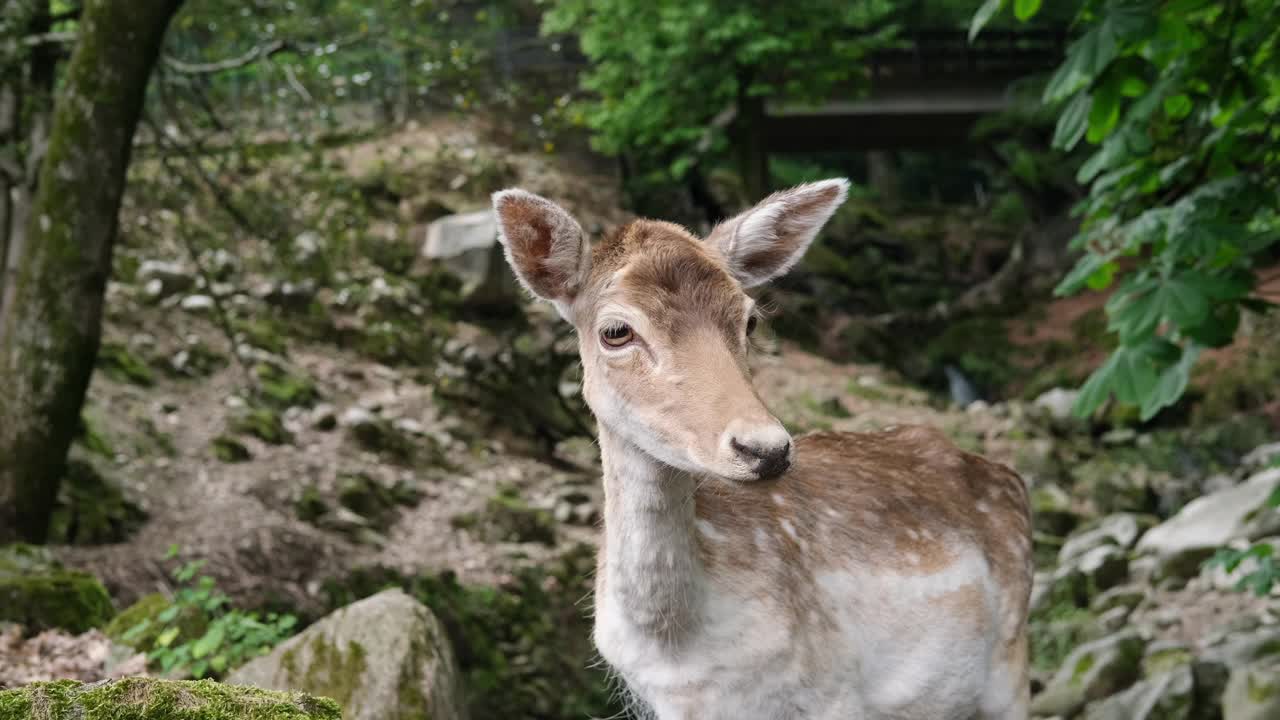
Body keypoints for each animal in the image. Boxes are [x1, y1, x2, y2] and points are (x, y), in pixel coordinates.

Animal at [494, 179, 1034, 717]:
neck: (679, 650)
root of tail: (1010, 478)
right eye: (615, 331)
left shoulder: (834, 692)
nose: (765, 449)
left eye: (750, 319)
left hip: (1010, 668)